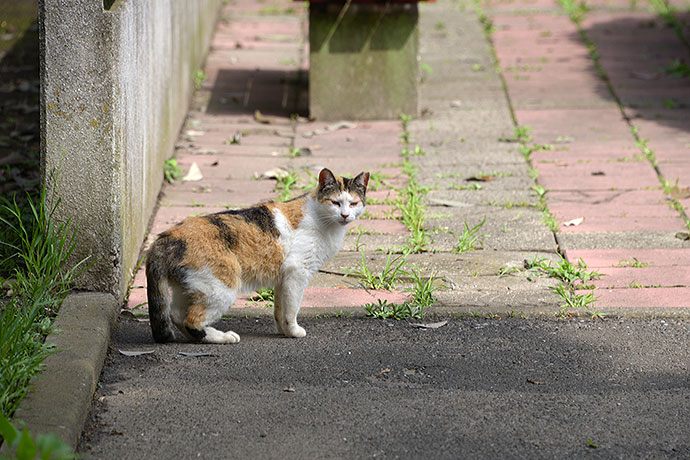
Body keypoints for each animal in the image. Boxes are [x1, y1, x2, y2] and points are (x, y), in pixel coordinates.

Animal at [145, 167, 368, 344]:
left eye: (354, 203)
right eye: (336, 202)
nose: (345, 215)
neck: (323, 220)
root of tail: (166, 238)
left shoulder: (284, 278)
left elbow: (280, 309)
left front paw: (284, 331)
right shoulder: (297, 273)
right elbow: (292, 308)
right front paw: (294, 331)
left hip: (191, 287)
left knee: (176, 315)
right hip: (221, 288)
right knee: (192, 321)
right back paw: (224, 337)